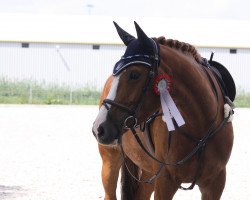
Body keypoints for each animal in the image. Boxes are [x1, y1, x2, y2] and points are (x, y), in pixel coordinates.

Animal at [92, 22, 234, 200]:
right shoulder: (165, 181)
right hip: (110, 160)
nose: (99, 128)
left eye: (134, 74)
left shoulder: (215, 183)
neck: (200, 129)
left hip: (148, 172)